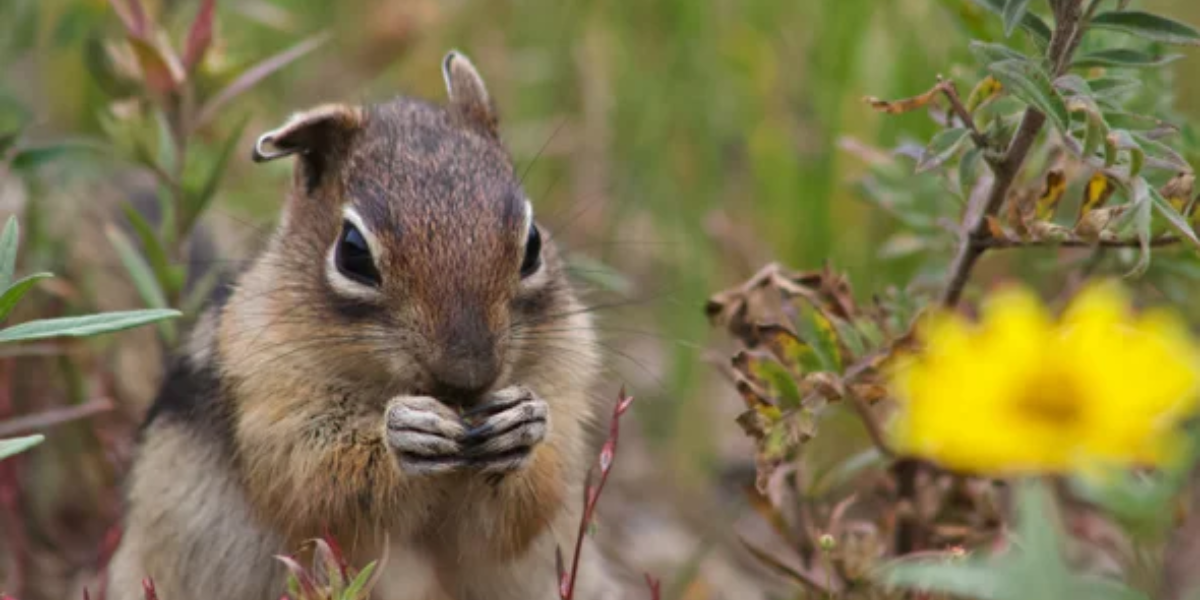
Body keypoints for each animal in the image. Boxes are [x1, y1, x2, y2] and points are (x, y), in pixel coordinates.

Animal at [104, 50, 619, 600]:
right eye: (352, 253)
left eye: (534, 245)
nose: (468, 375)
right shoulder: (267, 393)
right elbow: (314, 480)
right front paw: (403, 432)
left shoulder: (566, 377)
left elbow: (527, 505)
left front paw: (523, 426)